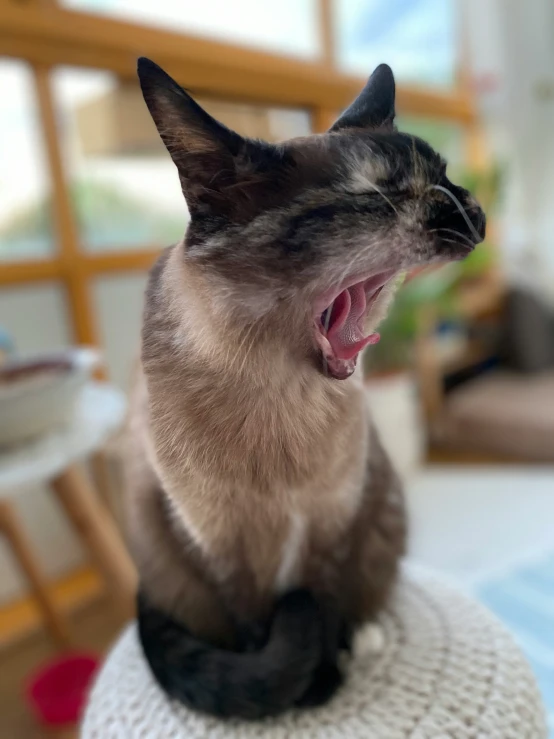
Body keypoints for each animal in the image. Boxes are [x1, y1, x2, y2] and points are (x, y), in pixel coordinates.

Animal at [122, 59, 484, 724]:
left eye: (448, 178)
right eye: (378, 193)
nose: (474, 211)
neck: (280, 394)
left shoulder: (332, 527)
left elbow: (324, 607)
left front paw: (327, 677)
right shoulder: (222, 550)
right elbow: (258, 632)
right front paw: (303, 690)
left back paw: (364, 643)